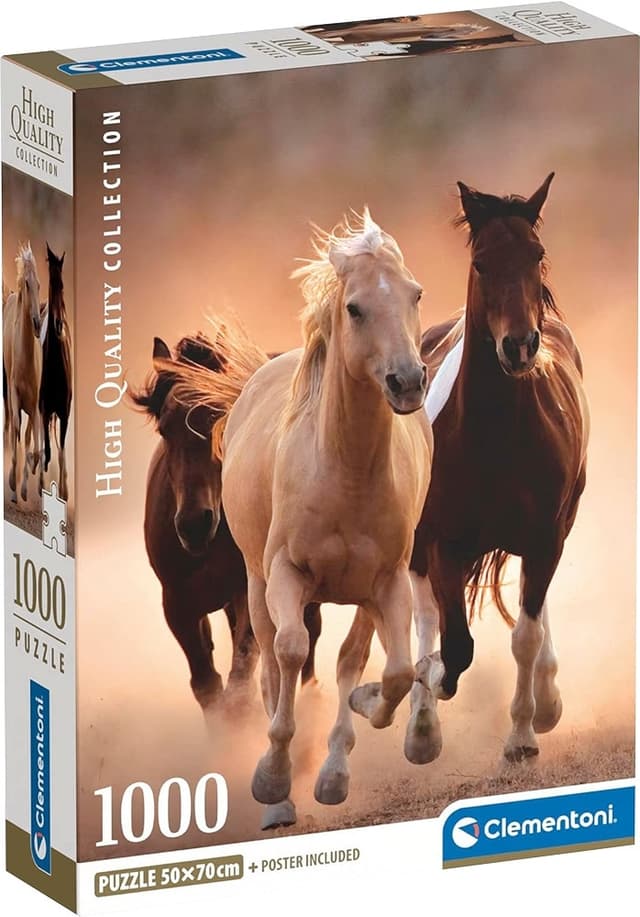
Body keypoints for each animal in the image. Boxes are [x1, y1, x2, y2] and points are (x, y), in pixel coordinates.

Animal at [132, 331, 323, 724]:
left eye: (221, 417)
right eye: (164, 428)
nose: (194, 524)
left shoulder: (248, 591)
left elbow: (239, 681)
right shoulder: (178, 604)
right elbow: (207, 686)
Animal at [181, 210, 431, 828]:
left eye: (414, 294)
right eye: (355, 308)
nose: (408, 382)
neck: (346, 471)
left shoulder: (388, 582)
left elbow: (389, 671)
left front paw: (354, 733)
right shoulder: (286, 575)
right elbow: (290, 655)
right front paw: (272, 780)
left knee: (350, 660)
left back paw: (334, 767)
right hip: (254, 584)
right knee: (273, 663)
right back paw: (281, 794)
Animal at [405, 174, 589, 766]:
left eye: (537, 254)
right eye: (482, 263)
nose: (519, 345)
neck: (497, 435)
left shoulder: (545, 535)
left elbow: (524, 636)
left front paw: (524, 735)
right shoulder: (443, 541)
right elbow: (455, 645)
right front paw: (431, 686)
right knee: (424, 613)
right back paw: (421, 726)